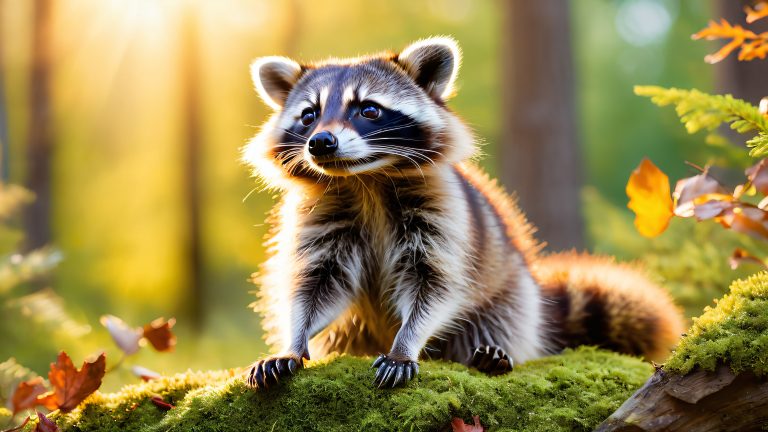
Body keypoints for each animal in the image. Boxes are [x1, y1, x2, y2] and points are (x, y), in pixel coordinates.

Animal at [242, 37, 684, 389]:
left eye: (368, 110)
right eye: (309, 115)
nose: (321, 143)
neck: (366, 180)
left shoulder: (445, 215)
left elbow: (436, 285)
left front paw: (406, 344)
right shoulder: (321, 217)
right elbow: (315, 284)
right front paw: (294, 340)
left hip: (511, 289)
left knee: (501, 318)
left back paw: (493, 354)